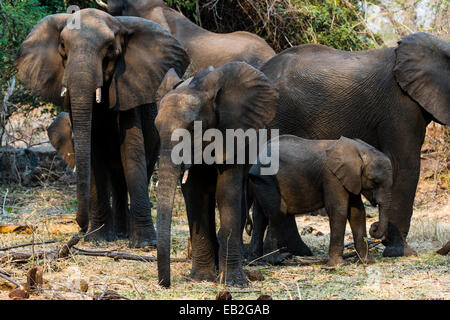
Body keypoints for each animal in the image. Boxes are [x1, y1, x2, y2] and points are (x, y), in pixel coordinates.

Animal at [15, 8, 188, 246]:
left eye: (110, 49)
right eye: (62, 46)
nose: (80, 227)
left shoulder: (129, 88)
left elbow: (132, 150)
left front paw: (144, 244)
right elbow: (93, 151)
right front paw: (97, 239)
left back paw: (125, 234)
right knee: (115, 179)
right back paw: (117, 233)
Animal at [248, 134, 392, 264]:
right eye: (375, 182)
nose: (374, 227)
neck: (359, 150)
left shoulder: (351, 178)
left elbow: (357, 212)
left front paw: (367, 262)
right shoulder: (331, 177)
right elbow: (338, 210)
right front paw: (338, 265)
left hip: (260, 181)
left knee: (259, 217)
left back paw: (255, 260)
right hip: (267, 178)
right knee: (277, 213)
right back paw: (275, 259)